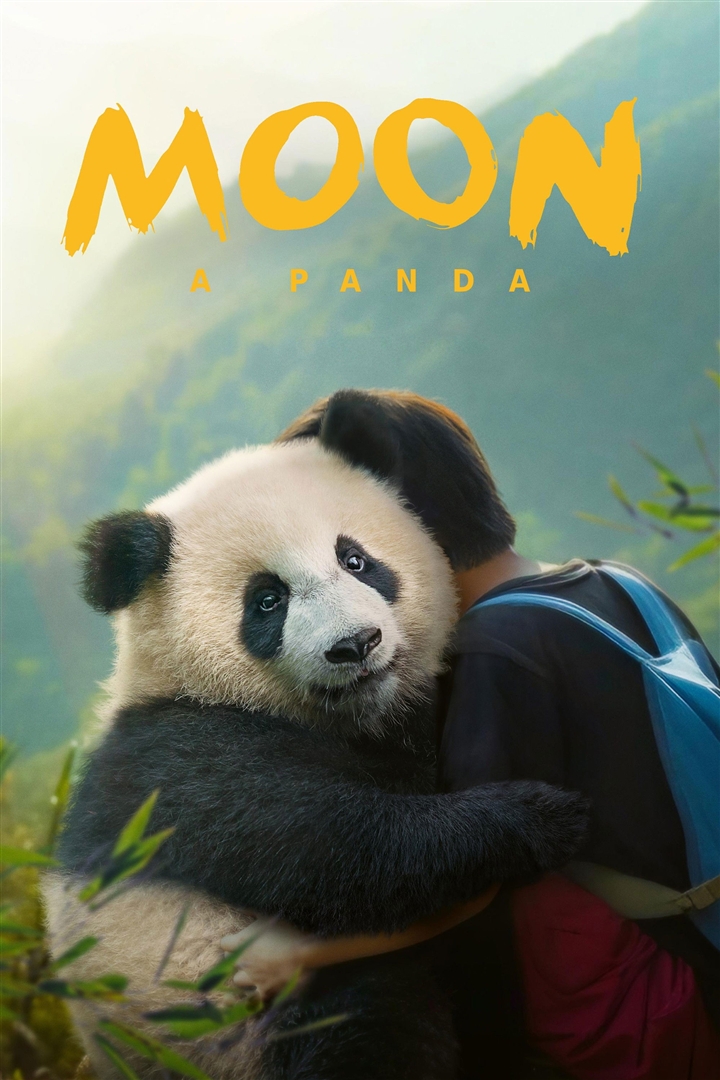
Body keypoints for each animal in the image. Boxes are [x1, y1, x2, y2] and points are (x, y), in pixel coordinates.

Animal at [45, 390, 587, 1080]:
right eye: (267, 601)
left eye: (354, 559)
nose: (355, 644)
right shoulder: (178, 759)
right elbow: (333, 847)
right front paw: (540, 816)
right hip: (226, 1026)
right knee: (371, 1021)